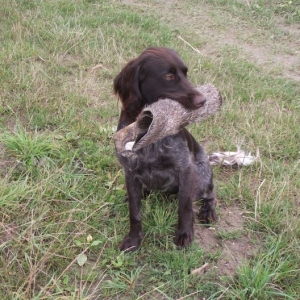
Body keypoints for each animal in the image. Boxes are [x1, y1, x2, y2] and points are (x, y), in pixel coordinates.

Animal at [113, 47, 217, 251]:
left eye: (186, 74)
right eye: (169, 76)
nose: (203, 100)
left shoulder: (186, 169)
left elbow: (184, 207)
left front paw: (184, 234)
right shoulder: (130, 172)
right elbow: (134, 212)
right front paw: (133, 239)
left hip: (201, 176)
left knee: (210, 195)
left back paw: (208, 212)